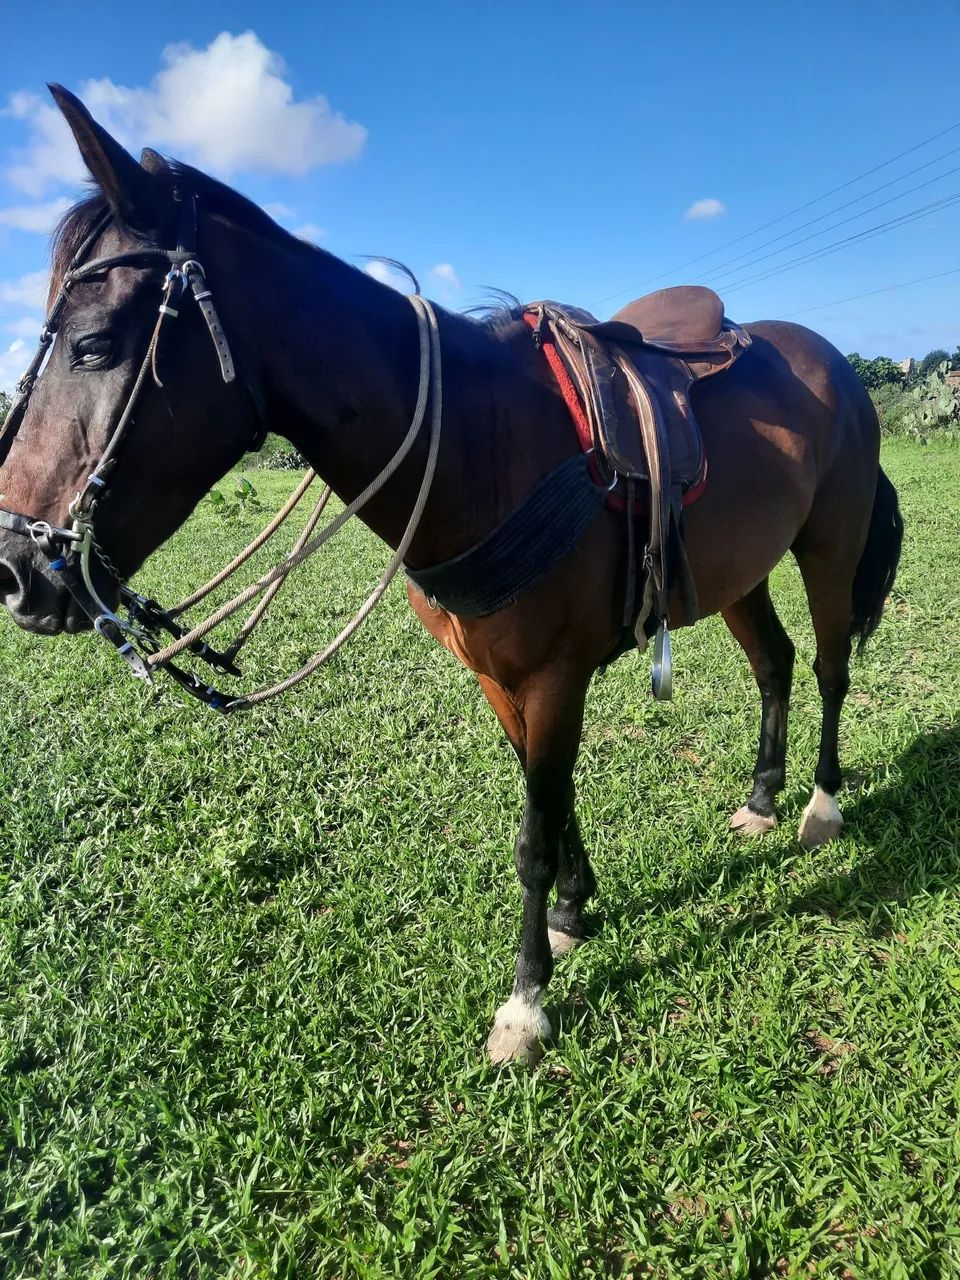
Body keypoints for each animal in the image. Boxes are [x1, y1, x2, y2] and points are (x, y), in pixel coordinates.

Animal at [0, 87, 903, 1065]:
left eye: (92, 345)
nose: (15, 572)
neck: (480, 442)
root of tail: (837, 364)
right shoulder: (500, 677)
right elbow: (552, 801)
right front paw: (574, 914)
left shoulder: (554, 675)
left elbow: (533, 834)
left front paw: (527, 1002)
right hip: (738, 571)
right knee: (775, 663)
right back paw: (763, 799)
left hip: (830, 545)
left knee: (828, 668)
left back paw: (820, 806)